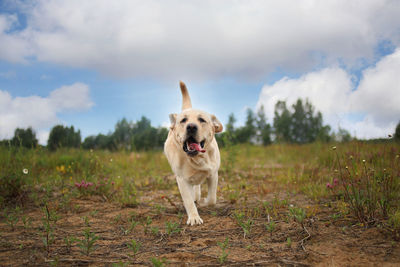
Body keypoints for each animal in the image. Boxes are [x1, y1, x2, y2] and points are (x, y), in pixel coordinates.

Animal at [164, 81, 223, 226]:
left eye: (201, 120)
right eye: (183, 120)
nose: (191, 126)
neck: (197, 158)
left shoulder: (213, 174)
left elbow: (212, 199)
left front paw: (204, 202)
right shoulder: (182, 180)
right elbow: (188, 201)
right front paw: (194, 217)